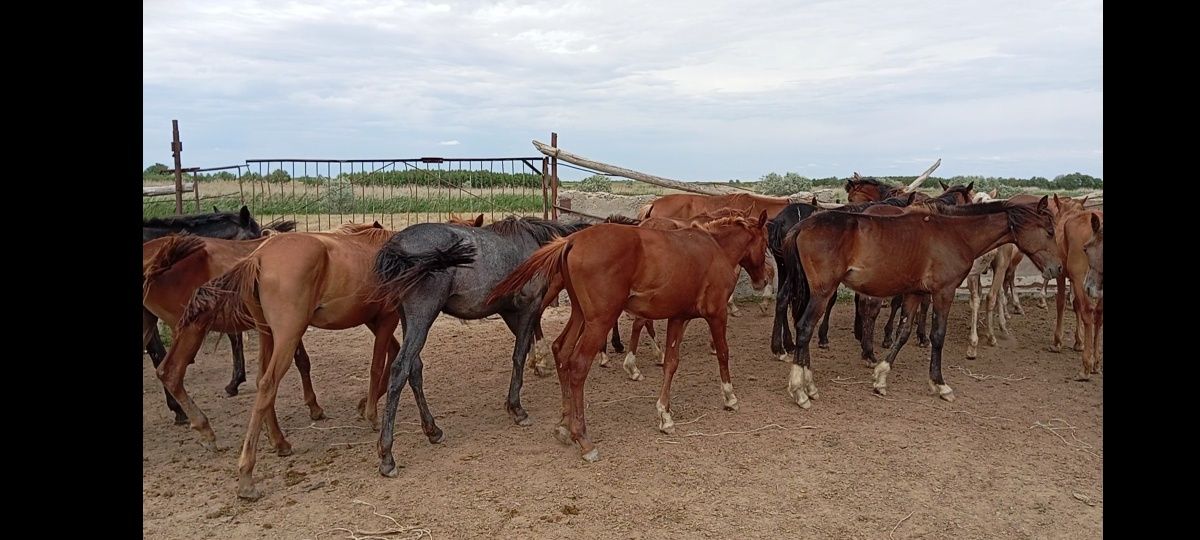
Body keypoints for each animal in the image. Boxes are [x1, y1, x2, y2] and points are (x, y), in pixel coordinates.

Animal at [158, 225, 408, 499]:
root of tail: (258, 257)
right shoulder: (386, 318)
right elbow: (377, 366)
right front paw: (372, 415)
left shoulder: (373, 319)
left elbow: (392, 356)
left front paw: (363, 405)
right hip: (288, 334)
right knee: (268, 383)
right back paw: (246, 476)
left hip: (267, 333)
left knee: (261, 382)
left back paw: (279, 442)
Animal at [369, 214, 585, 477]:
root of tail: (396, 244)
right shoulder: (529, 307)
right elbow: (519, 355)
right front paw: (517, 409)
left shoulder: (510, 312)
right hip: (422, 317)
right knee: (400, 370)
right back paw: (387, 456)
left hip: (408, 320)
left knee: (414, 369)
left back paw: (433, 430)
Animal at [484, 213, 768, 460]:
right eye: (765, 245)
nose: (763, 281)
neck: (714, 248)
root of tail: (572, 240)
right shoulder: (717, 313)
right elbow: (723, 353)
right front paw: (730, 397)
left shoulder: (678, 318)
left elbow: (671, 363)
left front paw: (665, 416)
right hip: (599, 320)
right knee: (578, 366)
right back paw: (583, 439)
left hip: (580, 315)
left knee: (561, 351)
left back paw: (564, 425)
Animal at [782, 198, 1065, 410]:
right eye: (1049, 231)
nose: (1058, 268)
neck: (955, 234)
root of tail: (803, 225)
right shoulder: (944, 292)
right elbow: (937, 335)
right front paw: (940, 385)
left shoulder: (915, 293)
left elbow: (904, 332)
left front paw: (881, 377)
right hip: (823, 292)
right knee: (805, 329)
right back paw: (800, 391)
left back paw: (810, 386)